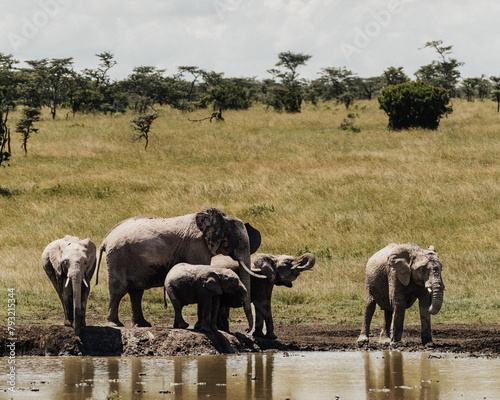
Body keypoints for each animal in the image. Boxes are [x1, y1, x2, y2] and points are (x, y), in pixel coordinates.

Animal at [95, 208, 264, 330]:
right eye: (239, 239)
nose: (247, 330)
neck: (219, 217)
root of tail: (106, 238)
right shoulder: (197, 245)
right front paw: (199, 327)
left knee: (136, 291)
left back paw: (142, 325)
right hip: (119, 257)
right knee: (118, 290)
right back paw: (115, 324)